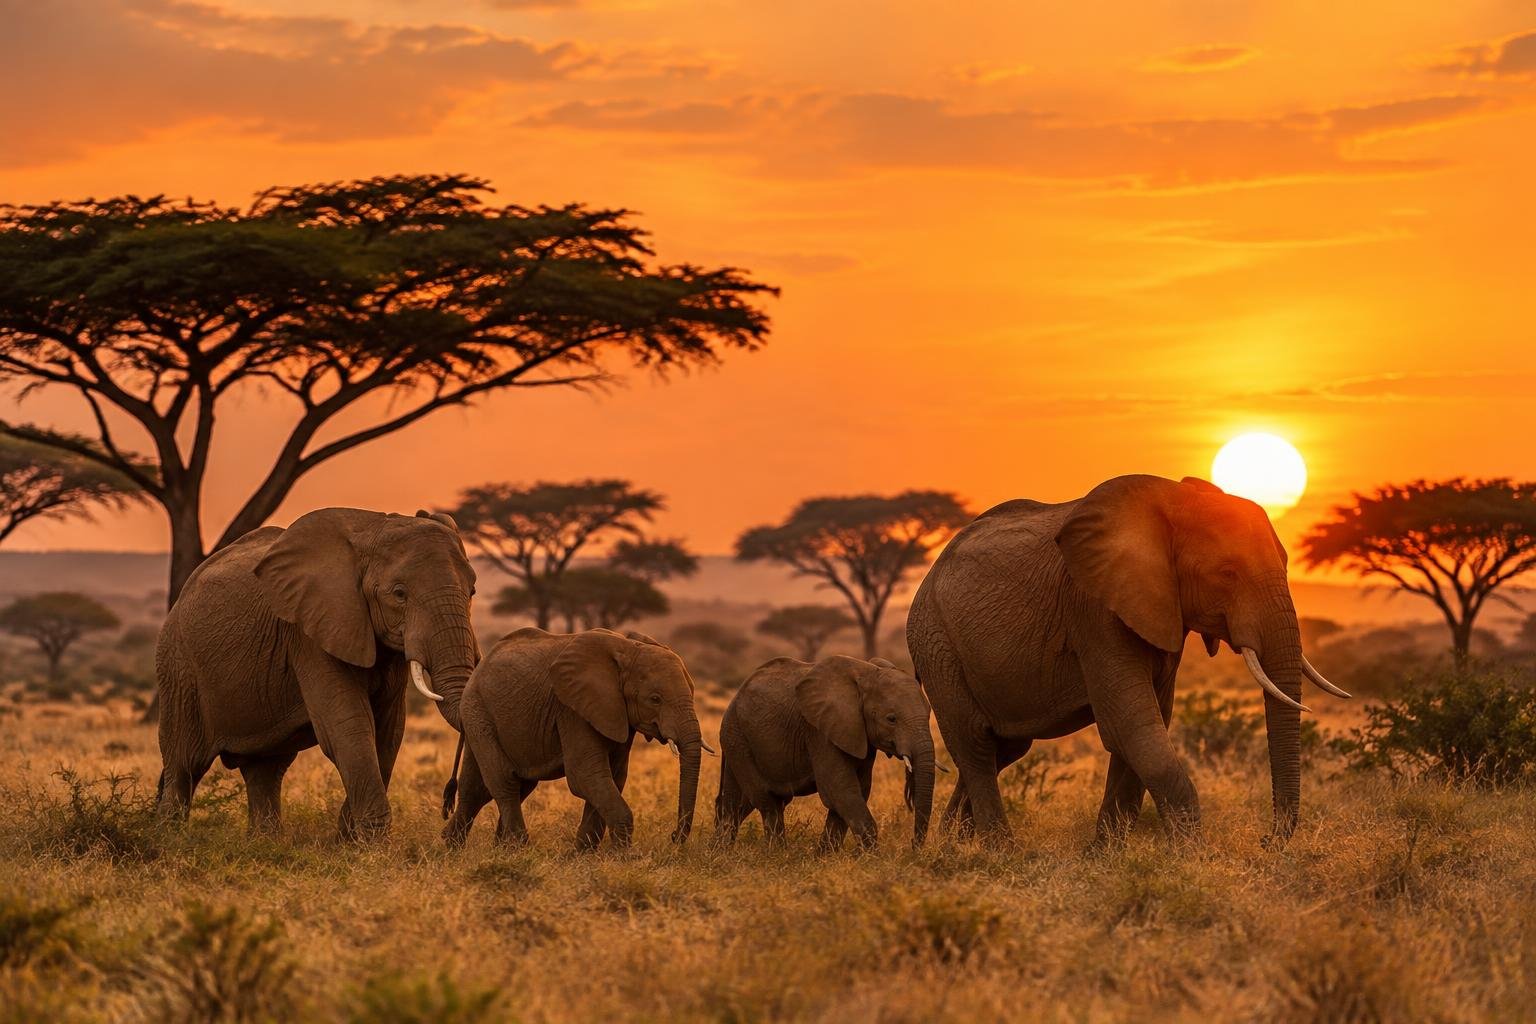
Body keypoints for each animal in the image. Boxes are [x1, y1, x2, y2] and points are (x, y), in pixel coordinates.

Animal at [154, 508, 477, 838]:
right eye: (399, 594)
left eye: (472, 590)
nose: (447, 804)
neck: (373, 528)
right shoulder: (310, 633)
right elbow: (347, 725)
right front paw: (370, 841)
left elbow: (389, 730)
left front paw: (349, 839)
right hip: (178, 667)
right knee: (185, 763)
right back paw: (170, 839)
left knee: (265, 768)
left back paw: (265, 842)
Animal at [441, 627, 708, 851]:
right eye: (655, 699)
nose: (673, 837)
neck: (628, 647)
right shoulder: (572, 709)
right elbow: (585, 775)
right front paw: (622, 858)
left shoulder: (614, 713)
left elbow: (612, 778)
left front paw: (580, 857)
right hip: (478, 710)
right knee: (504, 781)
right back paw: (517, 849)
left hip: (482, 715)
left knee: (485, 787)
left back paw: (465, 848)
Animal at [714, 655, 937, 850]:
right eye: (891, 719)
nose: (913, 847)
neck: (867, 672)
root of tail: (735, 697)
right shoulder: (819, 732)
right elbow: (840, 790)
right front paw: (869, 859)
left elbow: (856, 791)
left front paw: (823, 857)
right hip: (737, 737)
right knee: (767, 801)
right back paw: (776, 855)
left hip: (737, 739)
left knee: (738, 803)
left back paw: (720, 853)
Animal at [906, 475, 1349, 846]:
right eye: (1227, 573)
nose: (1265, 840)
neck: (1173, 503)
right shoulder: (1095, 610)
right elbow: (1132, 726)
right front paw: (1190, 856)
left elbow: (1146, 726)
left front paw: (1104, 856)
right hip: (935, 642)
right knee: (976, 745)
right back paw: (999, 850)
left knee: (1004, 747)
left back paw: (954, 844)